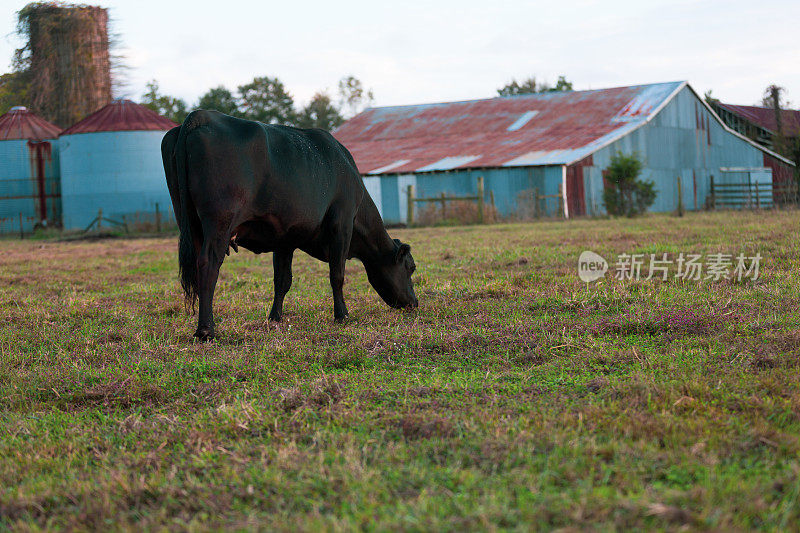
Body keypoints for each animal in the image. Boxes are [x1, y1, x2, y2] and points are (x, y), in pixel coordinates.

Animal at [163, 111, 422, 340]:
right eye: (411, 267)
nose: (414, 303)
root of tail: (201, 115)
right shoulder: (342, 223)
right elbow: (337, 274)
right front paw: (342, 315)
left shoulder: (284, 237)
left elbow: (282, 280)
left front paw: (275, 317)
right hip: (219, 221)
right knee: (208, 265)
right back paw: (206, 330)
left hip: (190, 223)